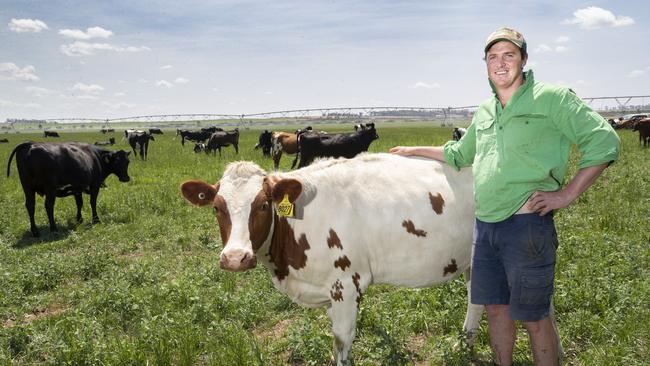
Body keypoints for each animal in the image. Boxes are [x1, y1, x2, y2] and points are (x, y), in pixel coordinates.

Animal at [180, 153, 484, 364]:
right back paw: (463, 345)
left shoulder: (346, 286)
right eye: (217, 208)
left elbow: (341, 341)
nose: (235, 258)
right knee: (475, 300)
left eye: (263, 205)